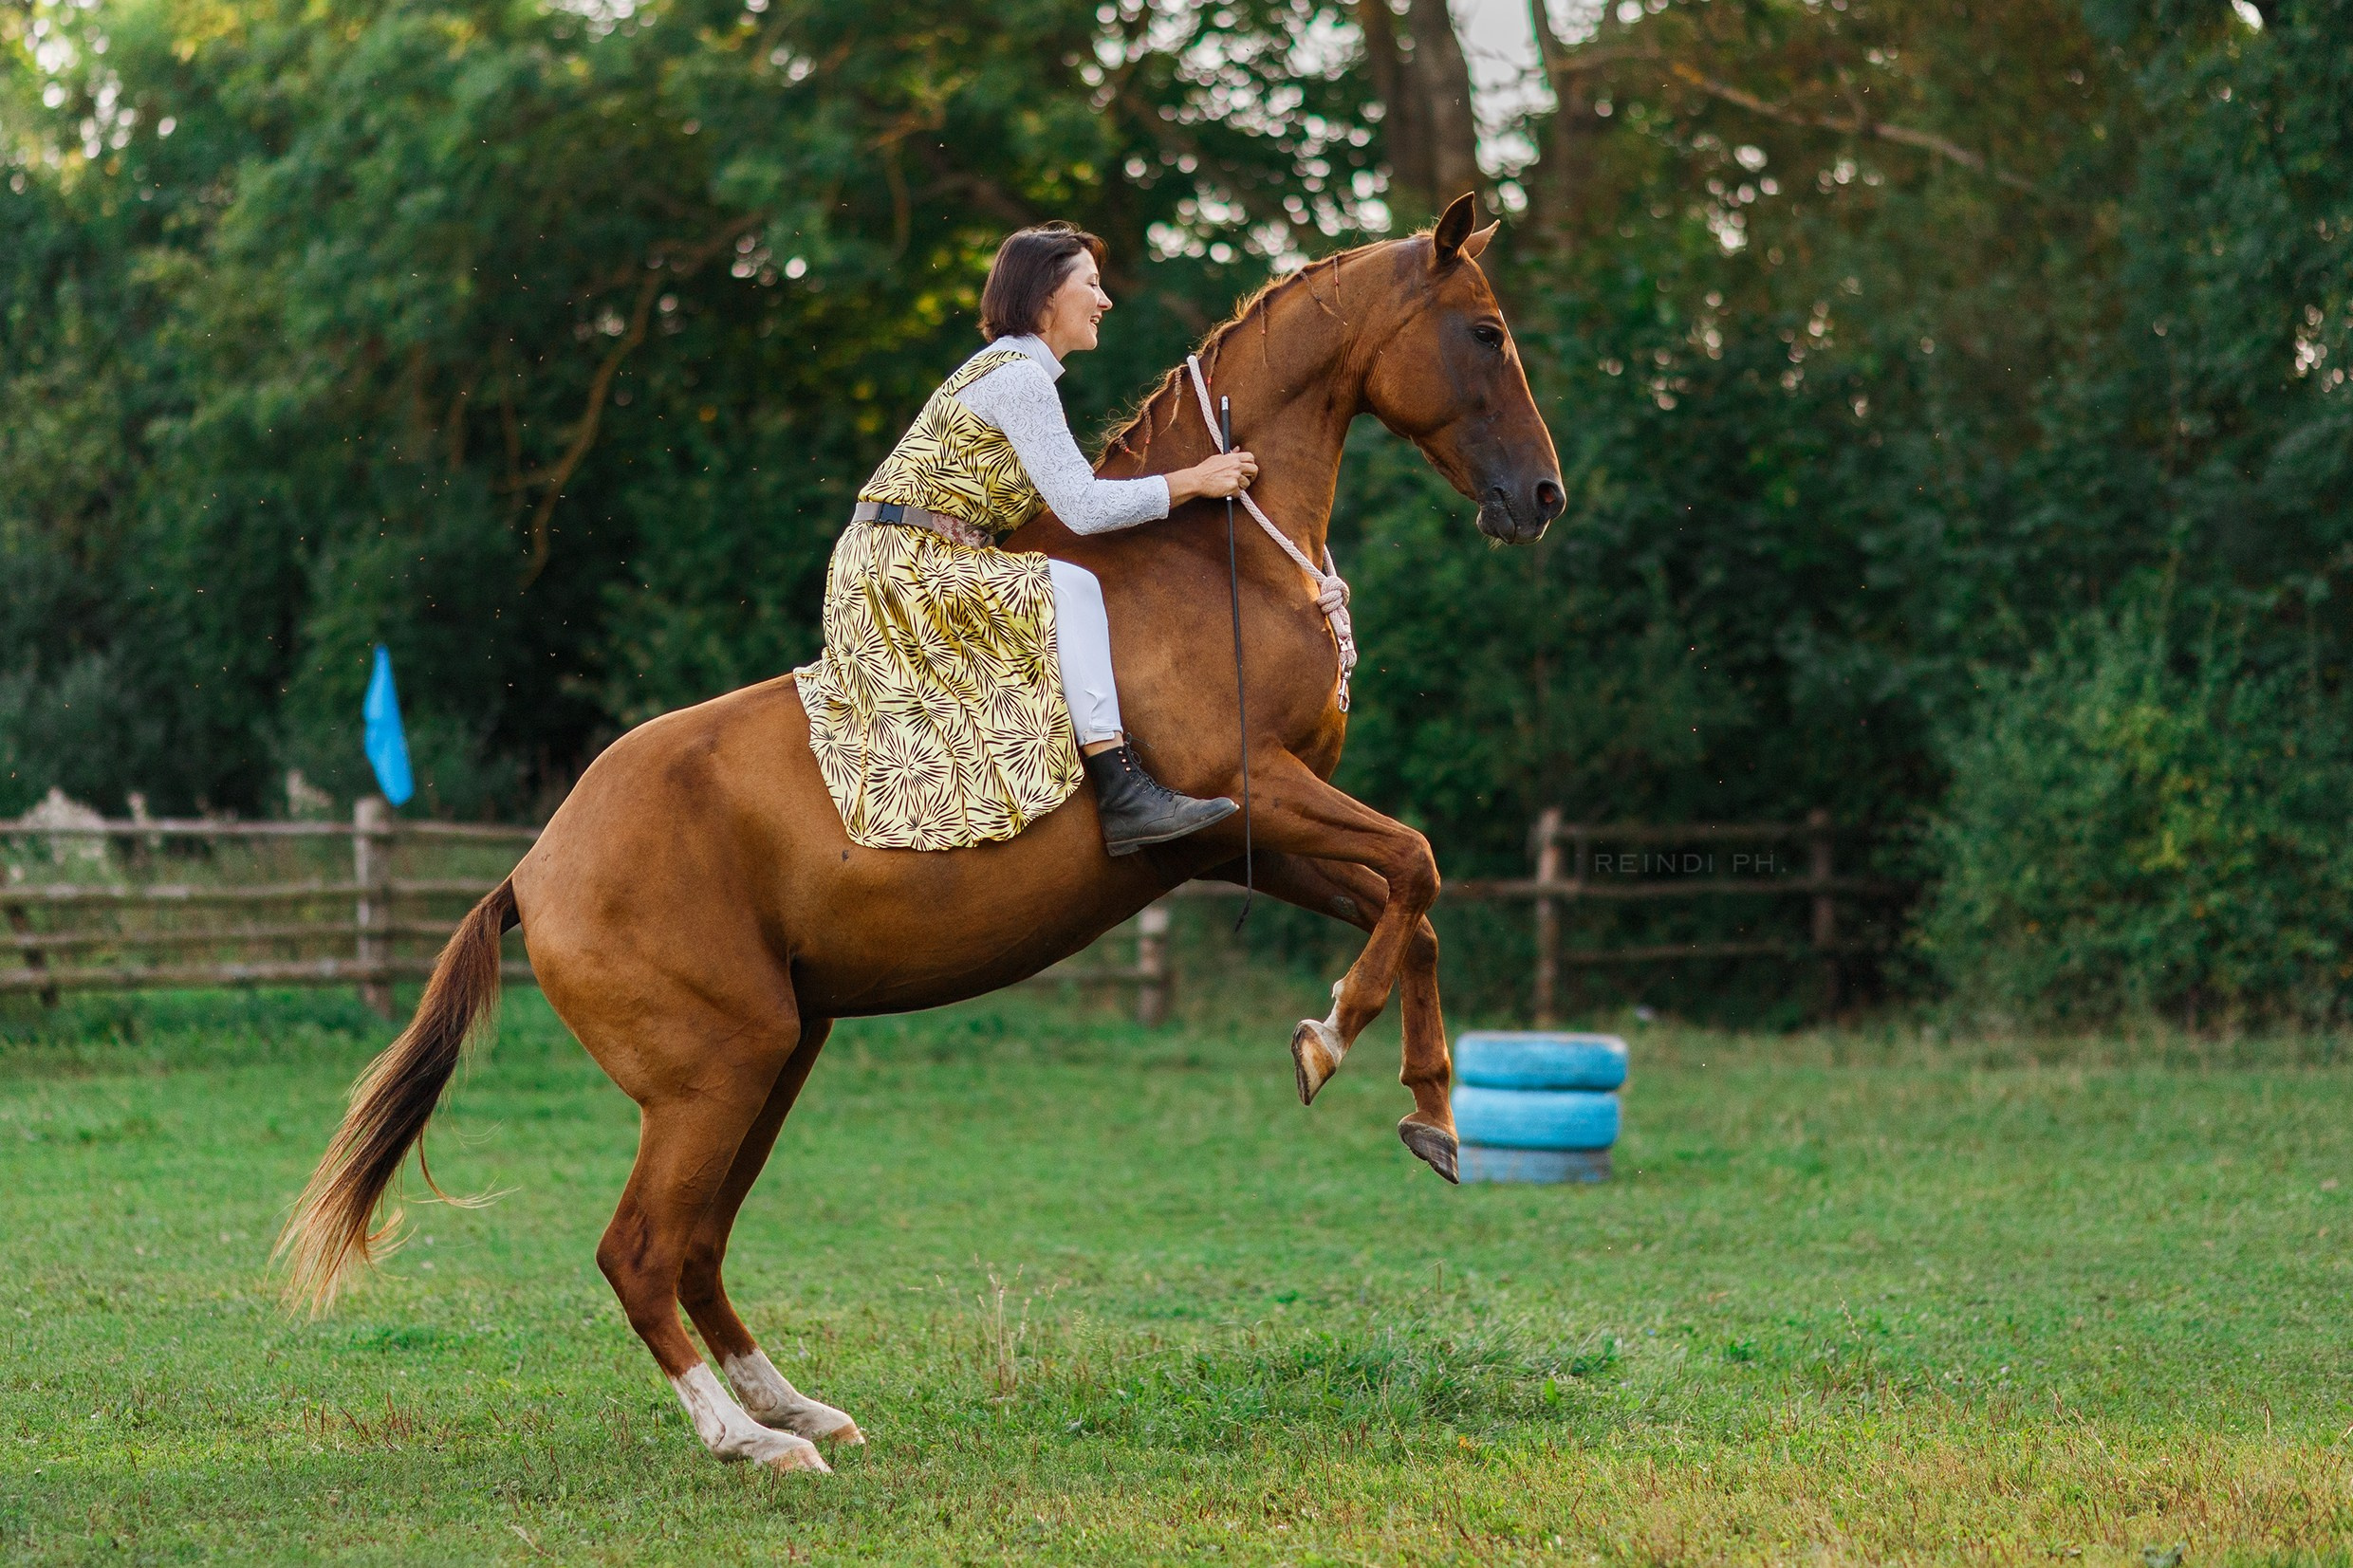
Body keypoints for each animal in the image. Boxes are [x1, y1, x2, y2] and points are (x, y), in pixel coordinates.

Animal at [278, 194, 1565, 1474]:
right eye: (1486, 332)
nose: (1544, 499)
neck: (1215, 560)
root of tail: (532, 869)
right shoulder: (1254, 788)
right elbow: (1416, 864)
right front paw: (1327, 1042)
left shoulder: (1237, 836)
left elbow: (1411, 902)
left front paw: (1429, 1112)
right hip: (716, 1071)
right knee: (640, 1249)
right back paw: (751, 1442)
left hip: (779, 1053)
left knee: (696, 1244)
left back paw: (799, 1410)